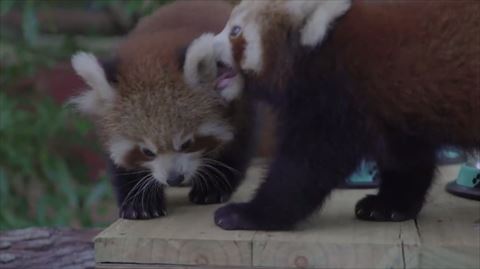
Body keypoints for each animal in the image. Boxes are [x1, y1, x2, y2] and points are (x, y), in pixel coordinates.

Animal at [70, 0, 255, 218]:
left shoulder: (239, 107)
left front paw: (212, 187)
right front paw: (139, 203)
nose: (174, 179)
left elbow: (235, 149)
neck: (153, 55)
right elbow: (120, 166)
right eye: (147, 152)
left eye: (187, 143)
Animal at [212, 0, 478, 230]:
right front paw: (389, 205)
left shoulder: (340, 92)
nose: (209, 50)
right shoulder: (395, 110)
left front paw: (249, 213)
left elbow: (305, 166)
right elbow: (407, 161)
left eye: (235, 31)